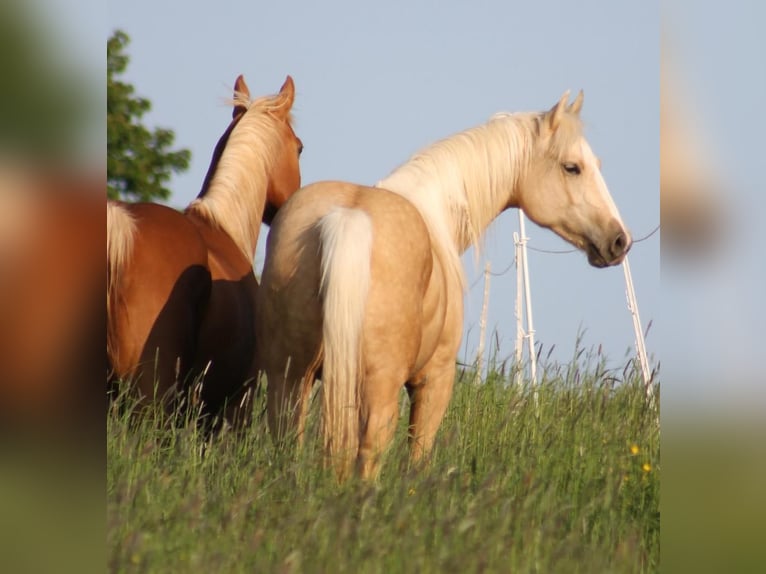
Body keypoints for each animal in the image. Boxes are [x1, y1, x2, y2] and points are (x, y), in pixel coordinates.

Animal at [258, 92, 632, 480]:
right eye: (572, 167)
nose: (619, 240)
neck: (435, 217)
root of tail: (345, 217)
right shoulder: (434, 382)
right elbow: (418, 460)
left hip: (289, 381)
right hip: (375, 392)